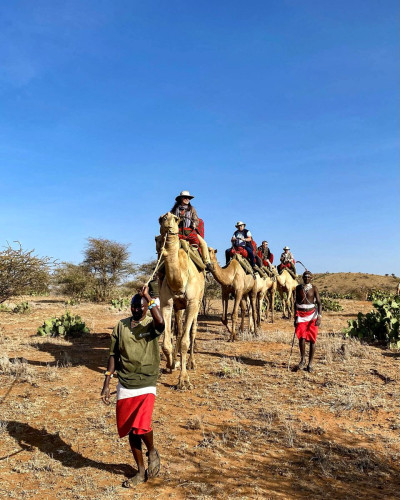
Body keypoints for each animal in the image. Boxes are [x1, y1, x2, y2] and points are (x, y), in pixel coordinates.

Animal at [158, 211, 205, 390]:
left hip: (198, 303)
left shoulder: (192, 303)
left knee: (192, 331)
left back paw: (191, 363)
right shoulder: (166, 304)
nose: (167, 220)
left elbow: (185, 340)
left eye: (176, 218)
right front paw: (171, 364)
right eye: (160, 218)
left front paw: (184, 380)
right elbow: (166, 342)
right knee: (178, 329)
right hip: (179, 306)